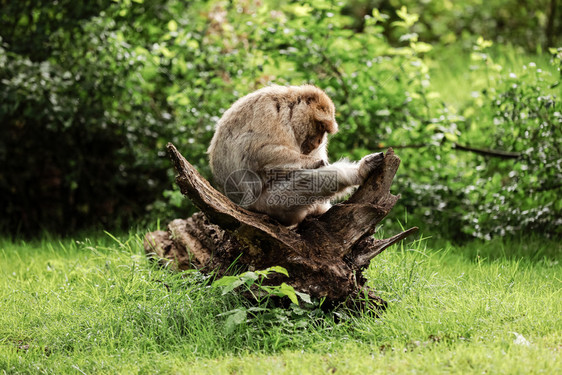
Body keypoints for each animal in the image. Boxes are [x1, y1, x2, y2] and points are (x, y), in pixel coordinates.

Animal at [206, 85, 380, 226]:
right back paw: (356, 173)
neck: (288, 111)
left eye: (324, 131)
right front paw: (316, 162)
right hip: (268, 204)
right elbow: (257, 152)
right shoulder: (267, 109)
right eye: (320, 126)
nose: (319, 141)